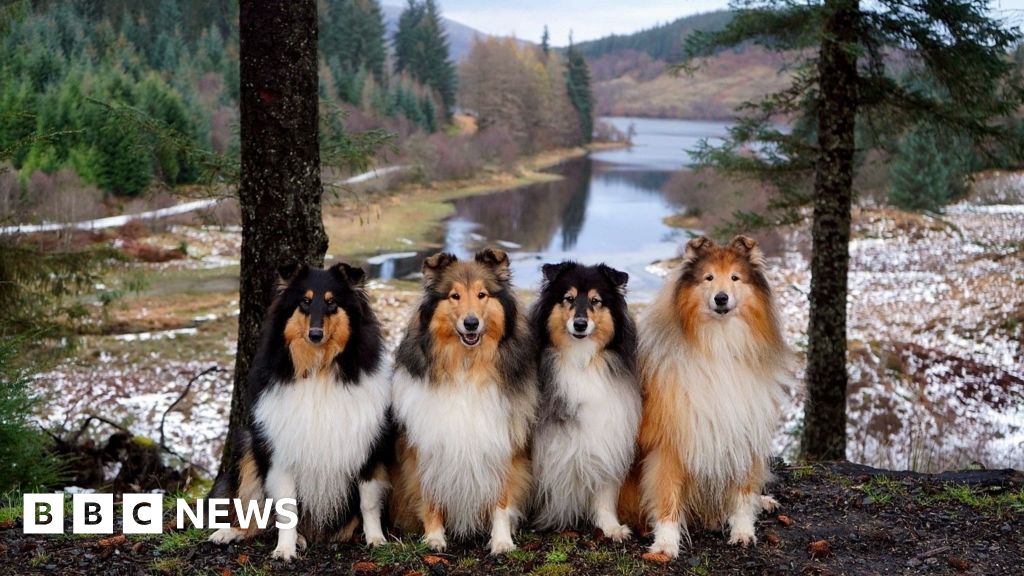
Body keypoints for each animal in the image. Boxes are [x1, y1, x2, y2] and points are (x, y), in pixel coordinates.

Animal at [209, 262, 393, 557]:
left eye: (332, 303)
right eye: (305, 302)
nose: (315, 335)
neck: (319, 368)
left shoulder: (368, 449)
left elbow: (369, 502)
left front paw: (376, 539)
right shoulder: (282, 452)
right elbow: (286, 509)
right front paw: (284, 550)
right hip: (248, 445)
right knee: (256, 515)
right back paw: (232, 533)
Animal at [389, 249, 536, 553]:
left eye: (482, 294)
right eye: (454, 296)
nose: (471, 323)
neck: (466, 365)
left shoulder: (502, 444)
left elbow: (501, 500)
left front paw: (502, 541)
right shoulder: (426, 446)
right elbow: (430, 496)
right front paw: (434, 538)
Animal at [528, 260, 638, 537]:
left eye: (595, 301)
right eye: (568, 298)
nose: (580, 324)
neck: (580, 360)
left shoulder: (607, 431)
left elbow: (605, 489)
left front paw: (611, 526)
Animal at [634, 234, 786, 557]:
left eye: (735, 277)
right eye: (709, 278)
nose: (721, 298)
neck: (719, 343)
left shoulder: (742, 431)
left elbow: (742, 493)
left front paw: (743, 531)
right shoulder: (670, 442)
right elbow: (667, 495)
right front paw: (665, 544)